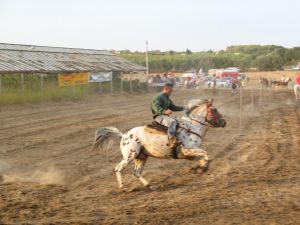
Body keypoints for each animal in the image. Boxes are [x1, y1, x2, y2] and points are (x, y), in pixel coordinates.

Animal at [92, 99, 226, 189]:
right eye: (214, 110)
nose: (224, 122)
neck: (192, 126)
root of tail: (124, 135)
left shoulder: (187, 154)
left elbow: (201, 158)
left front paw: (199, 168)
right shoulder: (188, 150)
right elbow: (206, 153)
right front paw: (204, 167)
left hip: (141, 157)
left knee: (136, 172)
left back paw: (149, 185)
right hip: (129, 156)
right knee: (118, 168)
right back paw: (122, 186)